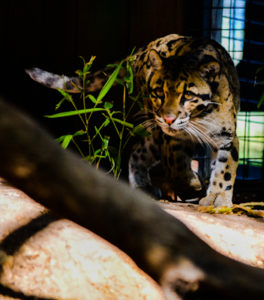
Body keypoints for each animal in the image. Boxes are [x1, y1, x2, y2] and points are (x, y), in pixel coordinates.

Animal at [26, 33, 239, 206]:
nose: (168, 119)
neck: (199, 118)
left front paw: (217, 196)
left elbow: (225, 169)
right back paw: (144, 187)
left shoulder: (227, 137)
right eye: (159, 93)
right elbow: (176, 164)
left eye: (187, 95)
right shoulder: (170, 138)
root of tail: (144, 50)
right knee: (138, 150)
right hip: (154, 129)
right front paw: (193, 185)